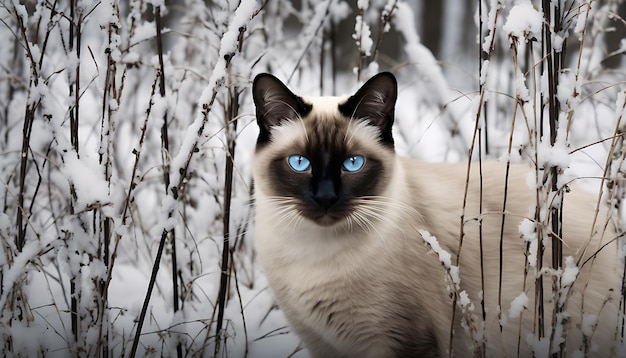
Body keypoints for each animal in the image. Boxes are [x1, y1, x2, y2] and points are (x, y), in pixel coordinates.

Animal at [249, 71, 620, 356]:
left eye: (352, 164)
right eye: (300, 163)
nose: (325, 198)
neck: (314, 257)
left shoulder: (405, 340)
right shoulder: (322, 342)